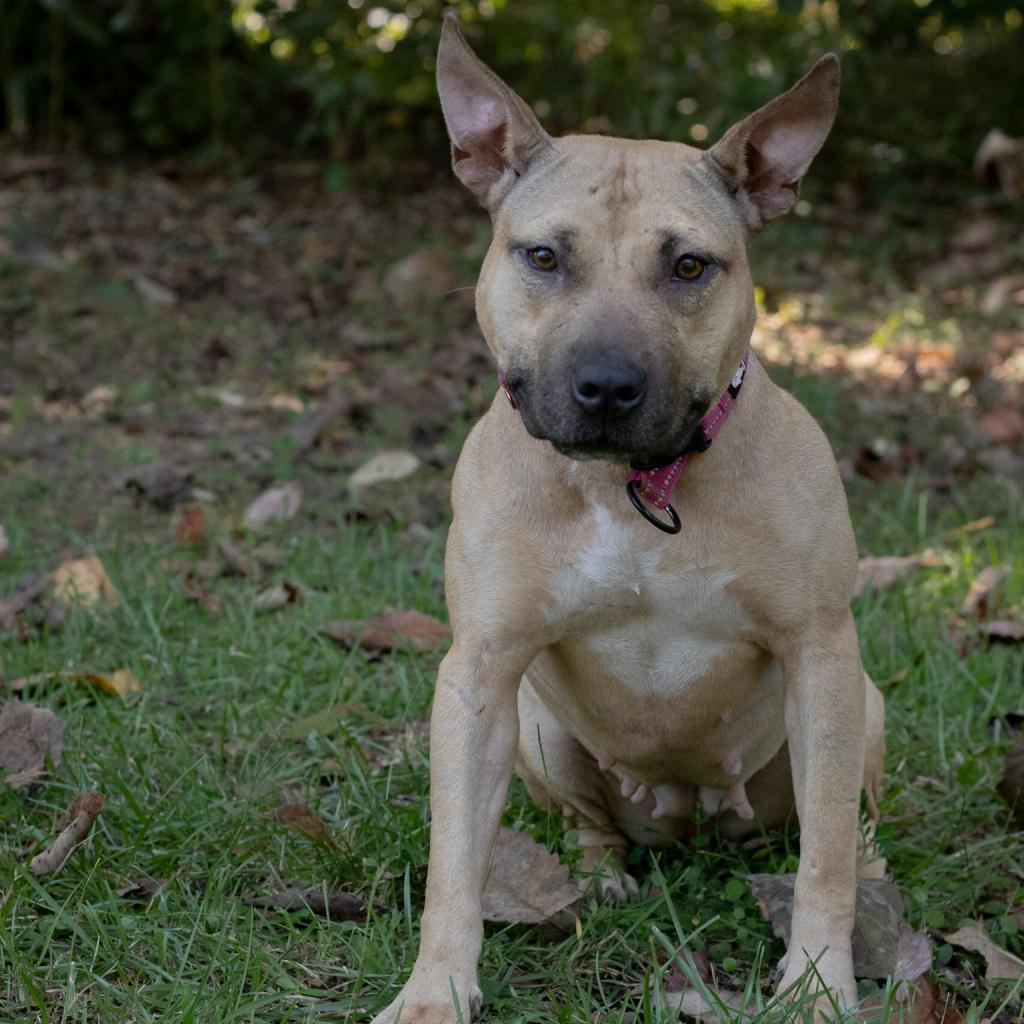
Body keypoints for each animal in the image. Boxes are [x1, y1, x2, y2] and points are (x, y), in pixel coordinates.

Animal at [372, 18, 884, 1024]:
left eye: (688, 266)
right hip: (539, 729)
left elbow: (826, 861)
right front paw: (434, 990)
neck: (628, 487)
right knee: (590, 823)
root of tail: (690, 819)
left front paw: (817, 985)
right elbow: (454, 863)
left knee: (843, 828)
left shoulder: (822, 656)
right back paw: (599, 874)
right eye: (543, 257)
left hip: (863, 706)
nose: (606, 386)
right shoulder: (479, 677)